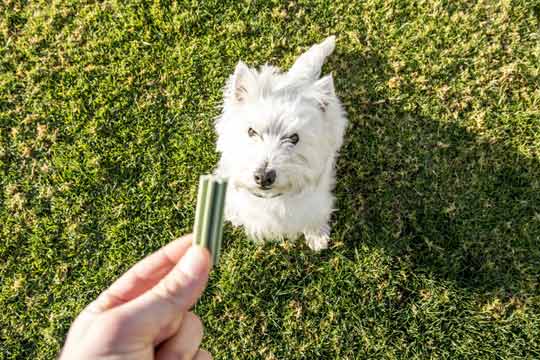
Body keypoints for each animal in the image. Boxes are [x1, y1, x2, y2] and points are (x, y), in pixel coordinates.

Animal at [213, 36, 348, 250]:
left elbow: (315, 217)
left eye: (294, 138)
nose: (263, 177)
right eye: (251, 131)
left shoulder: (316, 202)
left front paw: (317, 236)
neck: (271, 199)